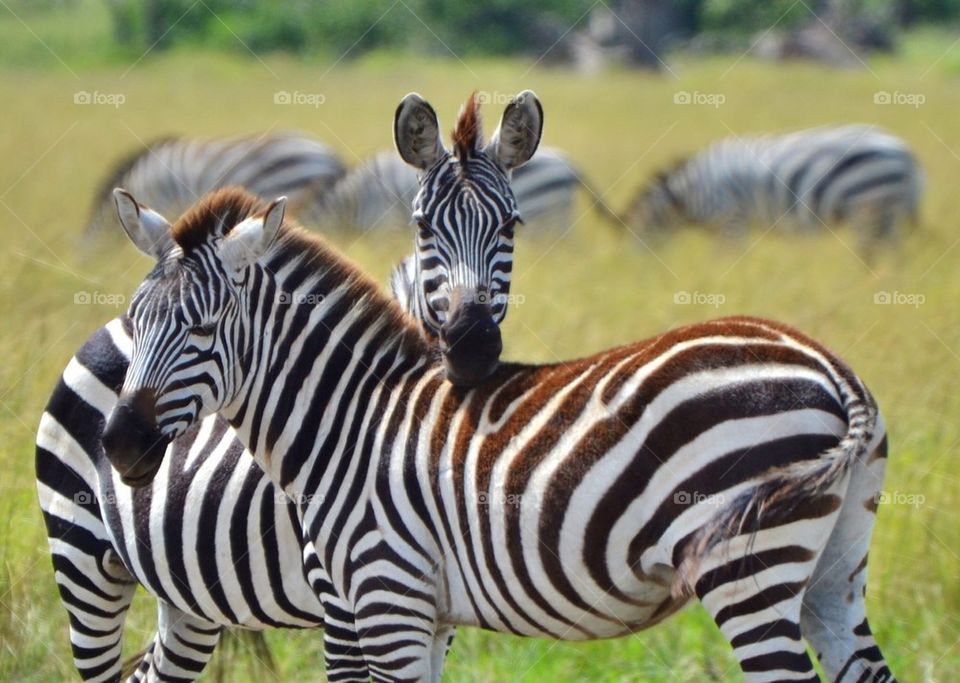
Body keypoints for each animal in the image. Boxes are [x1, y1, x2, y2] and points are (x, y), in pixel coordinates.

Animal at [103, 183, 892, 683]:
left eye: (203, 329)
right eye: (134, 321)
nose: (117, 445)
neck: (346, 421)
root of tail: (833, 370)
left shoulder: (387, 596)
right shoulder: (422, 612)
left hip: (746, 569)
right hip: (834, 568)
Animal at [624, 126, 924, 248]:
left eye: (636, 240)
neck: (689, 193)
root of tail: (906, 153)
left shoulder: (730, 219)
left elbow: (726, 259)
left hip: (868, 203)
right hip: (887, 210)